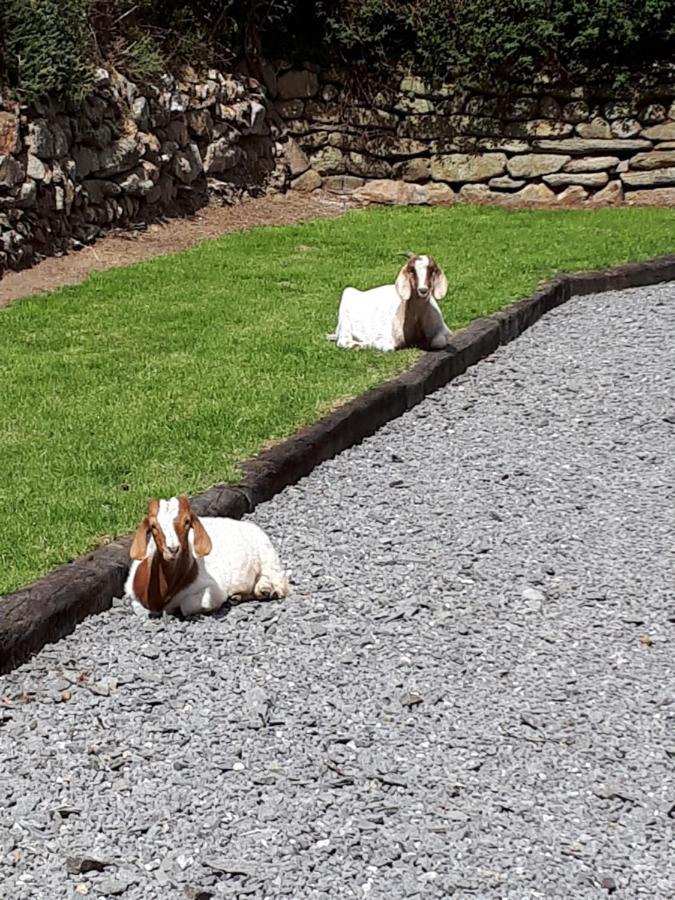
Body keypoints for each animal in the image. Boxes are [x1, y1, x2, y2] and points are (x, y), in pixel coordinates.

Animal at [125, 492, 290, 620]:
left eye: (187, 521)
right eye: (153, 526)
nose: (172, 549)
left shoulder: (214, 590)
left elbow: (187, 606)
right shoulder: (133, 595)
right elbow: (142, 610)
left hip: (266, 553)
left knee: (278, 579)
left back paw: (265, 589)